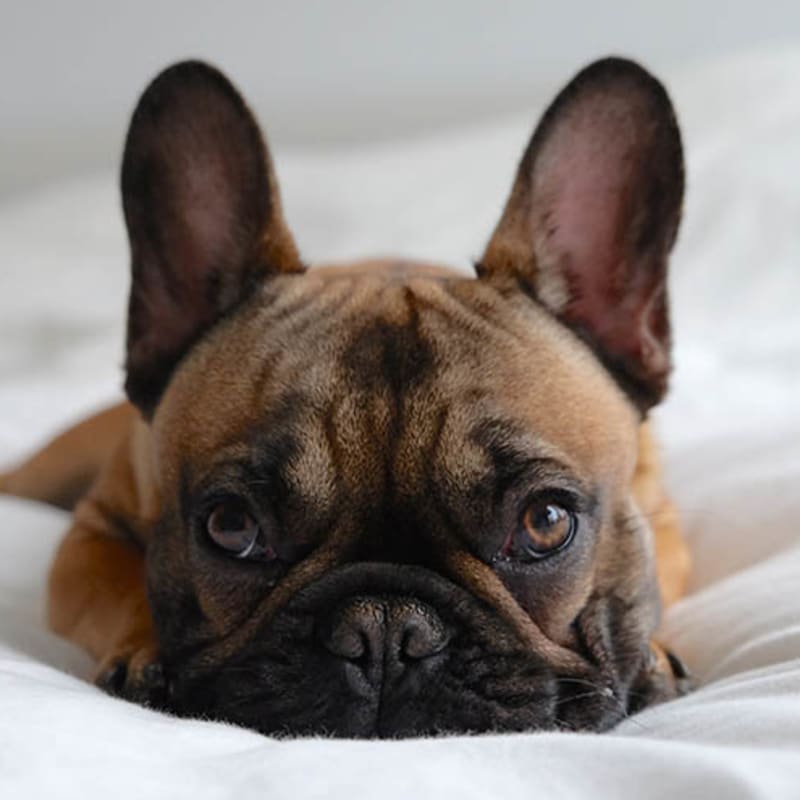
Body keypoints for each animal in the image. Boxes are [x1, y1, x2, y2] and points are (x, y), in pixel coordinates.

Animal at [0, 57, 692, 736]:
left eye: (545, 523)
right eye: (232, 526)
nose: (385, 628)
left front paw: (654, 653)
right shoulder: (88, 535)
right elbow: (117, 584)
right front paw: (144, 650)